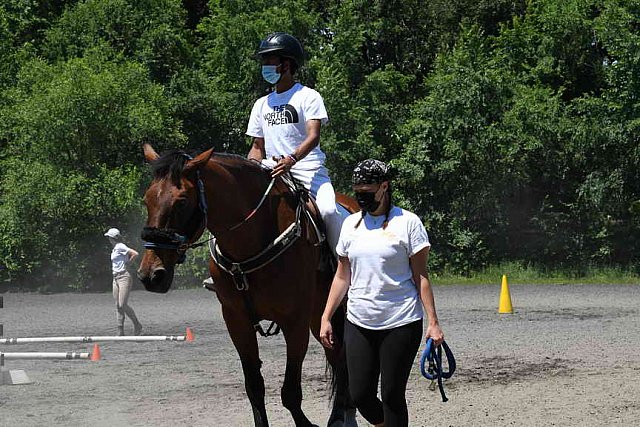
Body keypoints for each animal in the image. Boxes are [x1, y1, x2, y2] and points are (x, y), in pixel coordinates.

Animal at [137, 145, 360, 427]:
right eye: (147, 200)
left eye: (182, 201)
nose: (150, 275)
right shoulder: (237, 321)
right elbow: (254, 386)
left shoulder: (294, 321)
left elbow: (290, 392)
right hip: (319, 314)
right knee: (336, 355)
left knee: (342, 356)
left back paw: (343, 413)